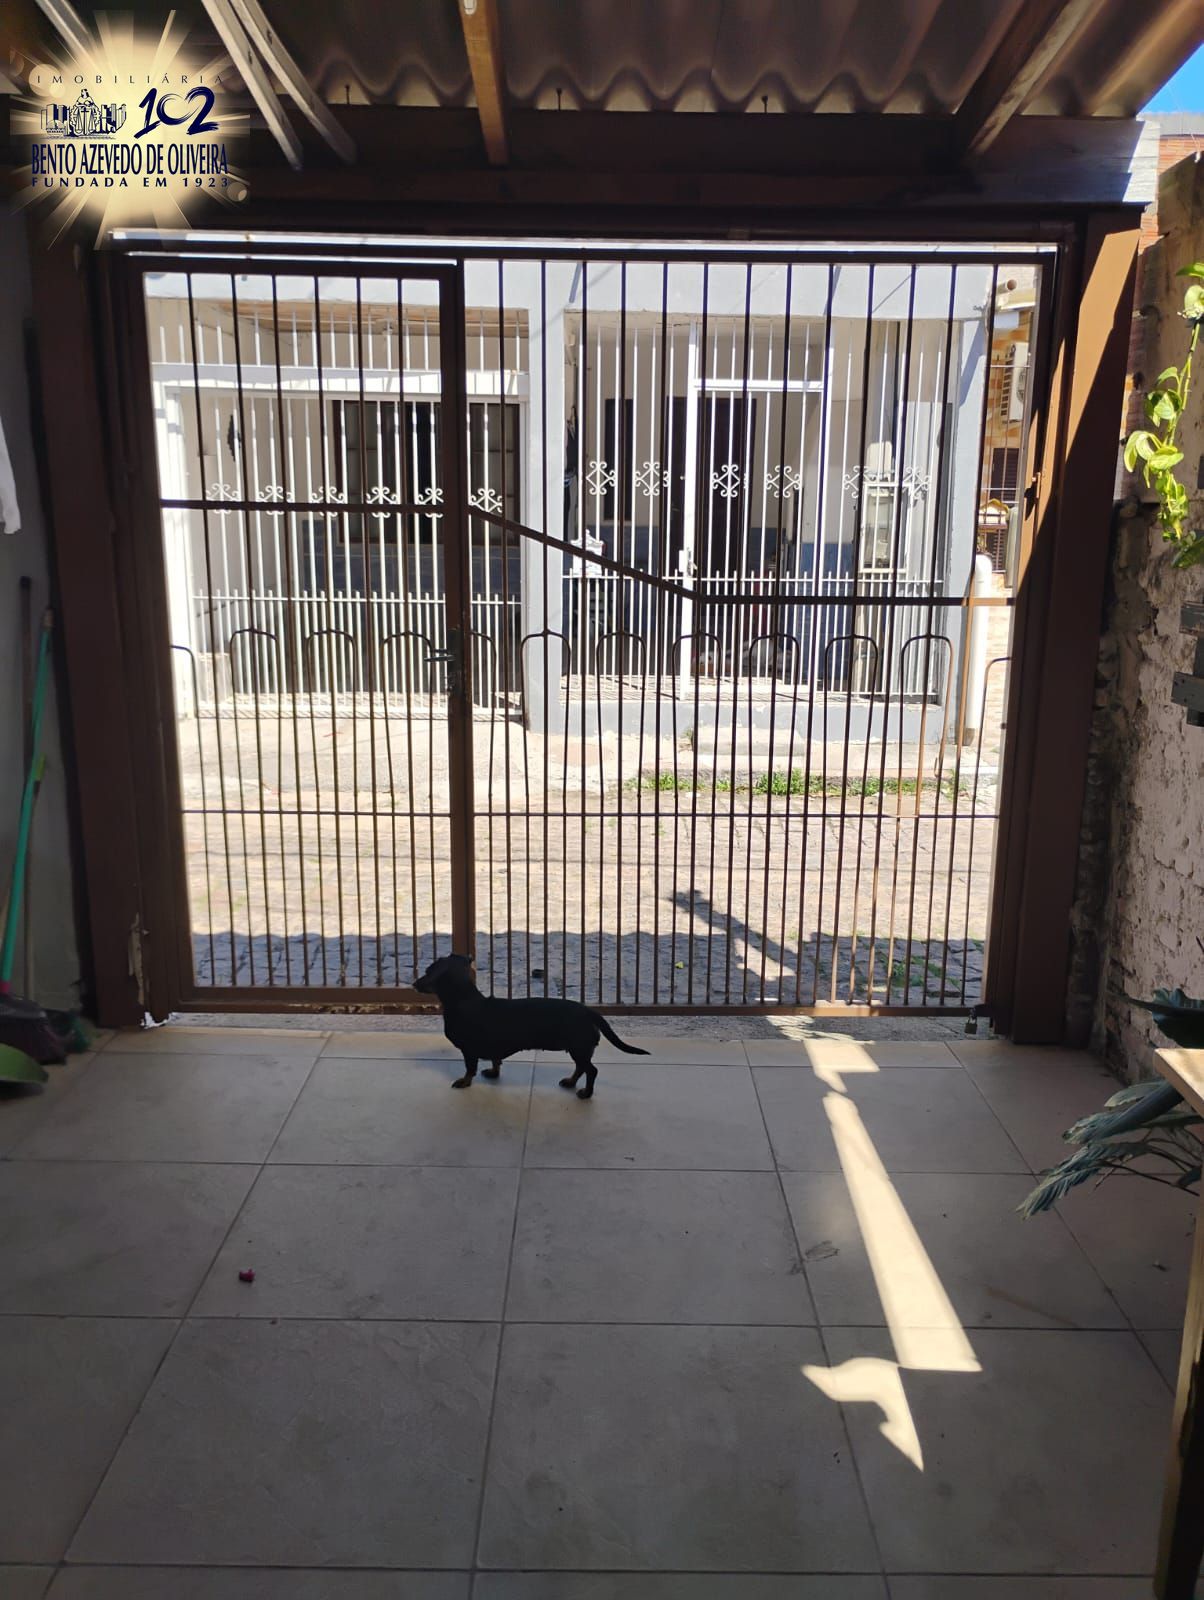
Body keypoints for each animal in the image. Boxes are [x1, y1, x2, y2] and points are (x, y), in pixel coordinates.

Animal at [413, 953, 649, 1098]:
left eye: (428, 970)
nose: (414, 983)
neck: (464, 999)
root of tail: (589, 1012)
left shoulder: (469, 1050)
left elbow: (470, 1069)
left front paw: (464, 1082)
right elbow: (496, 1061)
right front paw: (493, 1072)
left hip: (579, 1049)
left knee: (591, 1070)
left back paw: (585, 1093)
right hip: (579, 1050)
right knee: (581, 1068)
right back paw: (571, 1082)